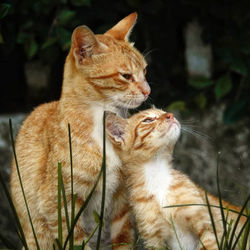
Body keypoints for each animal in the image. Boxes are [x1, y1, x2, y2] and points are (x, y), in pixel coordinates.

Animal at [10, 13, 149, 250]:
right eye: (126, 76)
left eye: (145, 70)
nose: (148, 90)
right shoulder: (61, 205)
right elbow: (77, 241)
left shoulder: (121, 203)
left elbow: (123, 240)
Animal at [106, 109, 248, 250]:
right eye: (148, 120)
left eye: (163, 112)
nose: (170, 115)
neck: (157, 177)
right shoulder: (154, 240)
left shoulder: (208, 229)